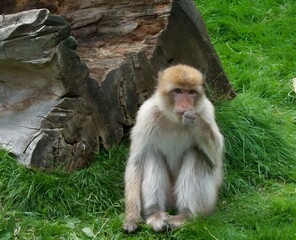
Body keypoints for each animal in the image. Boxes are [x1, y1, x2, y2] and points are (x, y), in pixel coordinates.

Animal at [123, 63, 224, 232]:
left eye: (190, 92)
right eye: (178, 91)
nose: (185, 104)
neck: (174, 120)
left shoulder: (207, 111)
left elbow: (216, 158)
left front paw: (196, 123)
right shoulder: (146, 114)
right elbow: (136, 162)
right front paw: (131, 216)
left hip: (208, 201)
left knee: (195, 153)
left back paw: (185, 215)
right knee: (152, 154)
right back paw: (155, 214)